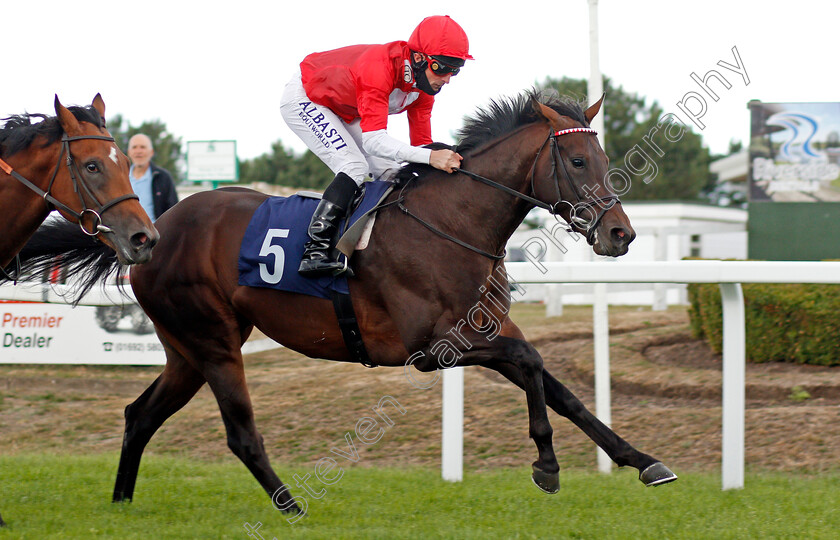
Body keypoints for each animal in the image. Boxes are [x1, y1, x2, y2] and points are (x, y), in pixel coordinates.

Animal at [8, 93, 676, 520]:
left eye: (602, 158)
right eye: (578, 160)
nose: (621, 234)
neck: (453, 222)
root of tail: (153, 226)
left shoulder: (483, 331)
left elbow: (563, 390)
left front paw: (642, 461)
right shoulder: (435, 347)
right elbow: (536, 365)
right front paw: (547, 465)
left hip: (186, 349)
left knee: (140, 415)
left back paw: (121, 504)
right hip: (212, 341)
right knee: (239, 433)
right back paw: (292, 506)